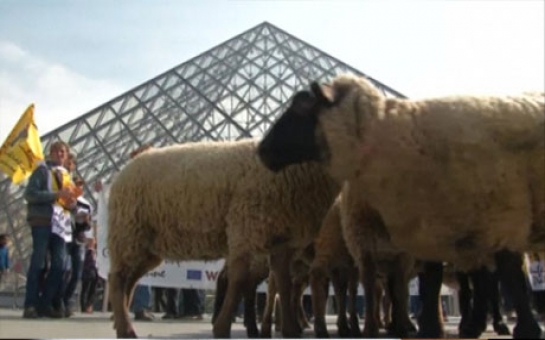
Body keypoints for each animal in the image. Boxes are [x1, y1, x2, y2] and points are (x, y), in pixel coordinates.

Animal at [105, 137, 340, 338]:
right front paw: (222, 328)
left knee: (130, 280)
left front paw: (291, 330)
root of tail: (131, 162)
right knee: (117, 279)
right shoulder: (245, 229)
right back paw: (126, 330)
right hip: (128, 232)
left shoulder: (281, 240)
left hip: (146, 246)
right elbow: (239, 279)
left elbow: (283, 283)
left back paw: (120, 322)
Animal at [256, 73, 544, 338]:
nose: (261, 149)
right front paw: (412, 327)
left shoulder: (492, 222)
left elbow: (506, 277)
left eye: (301, 106)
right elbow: (409, 286)